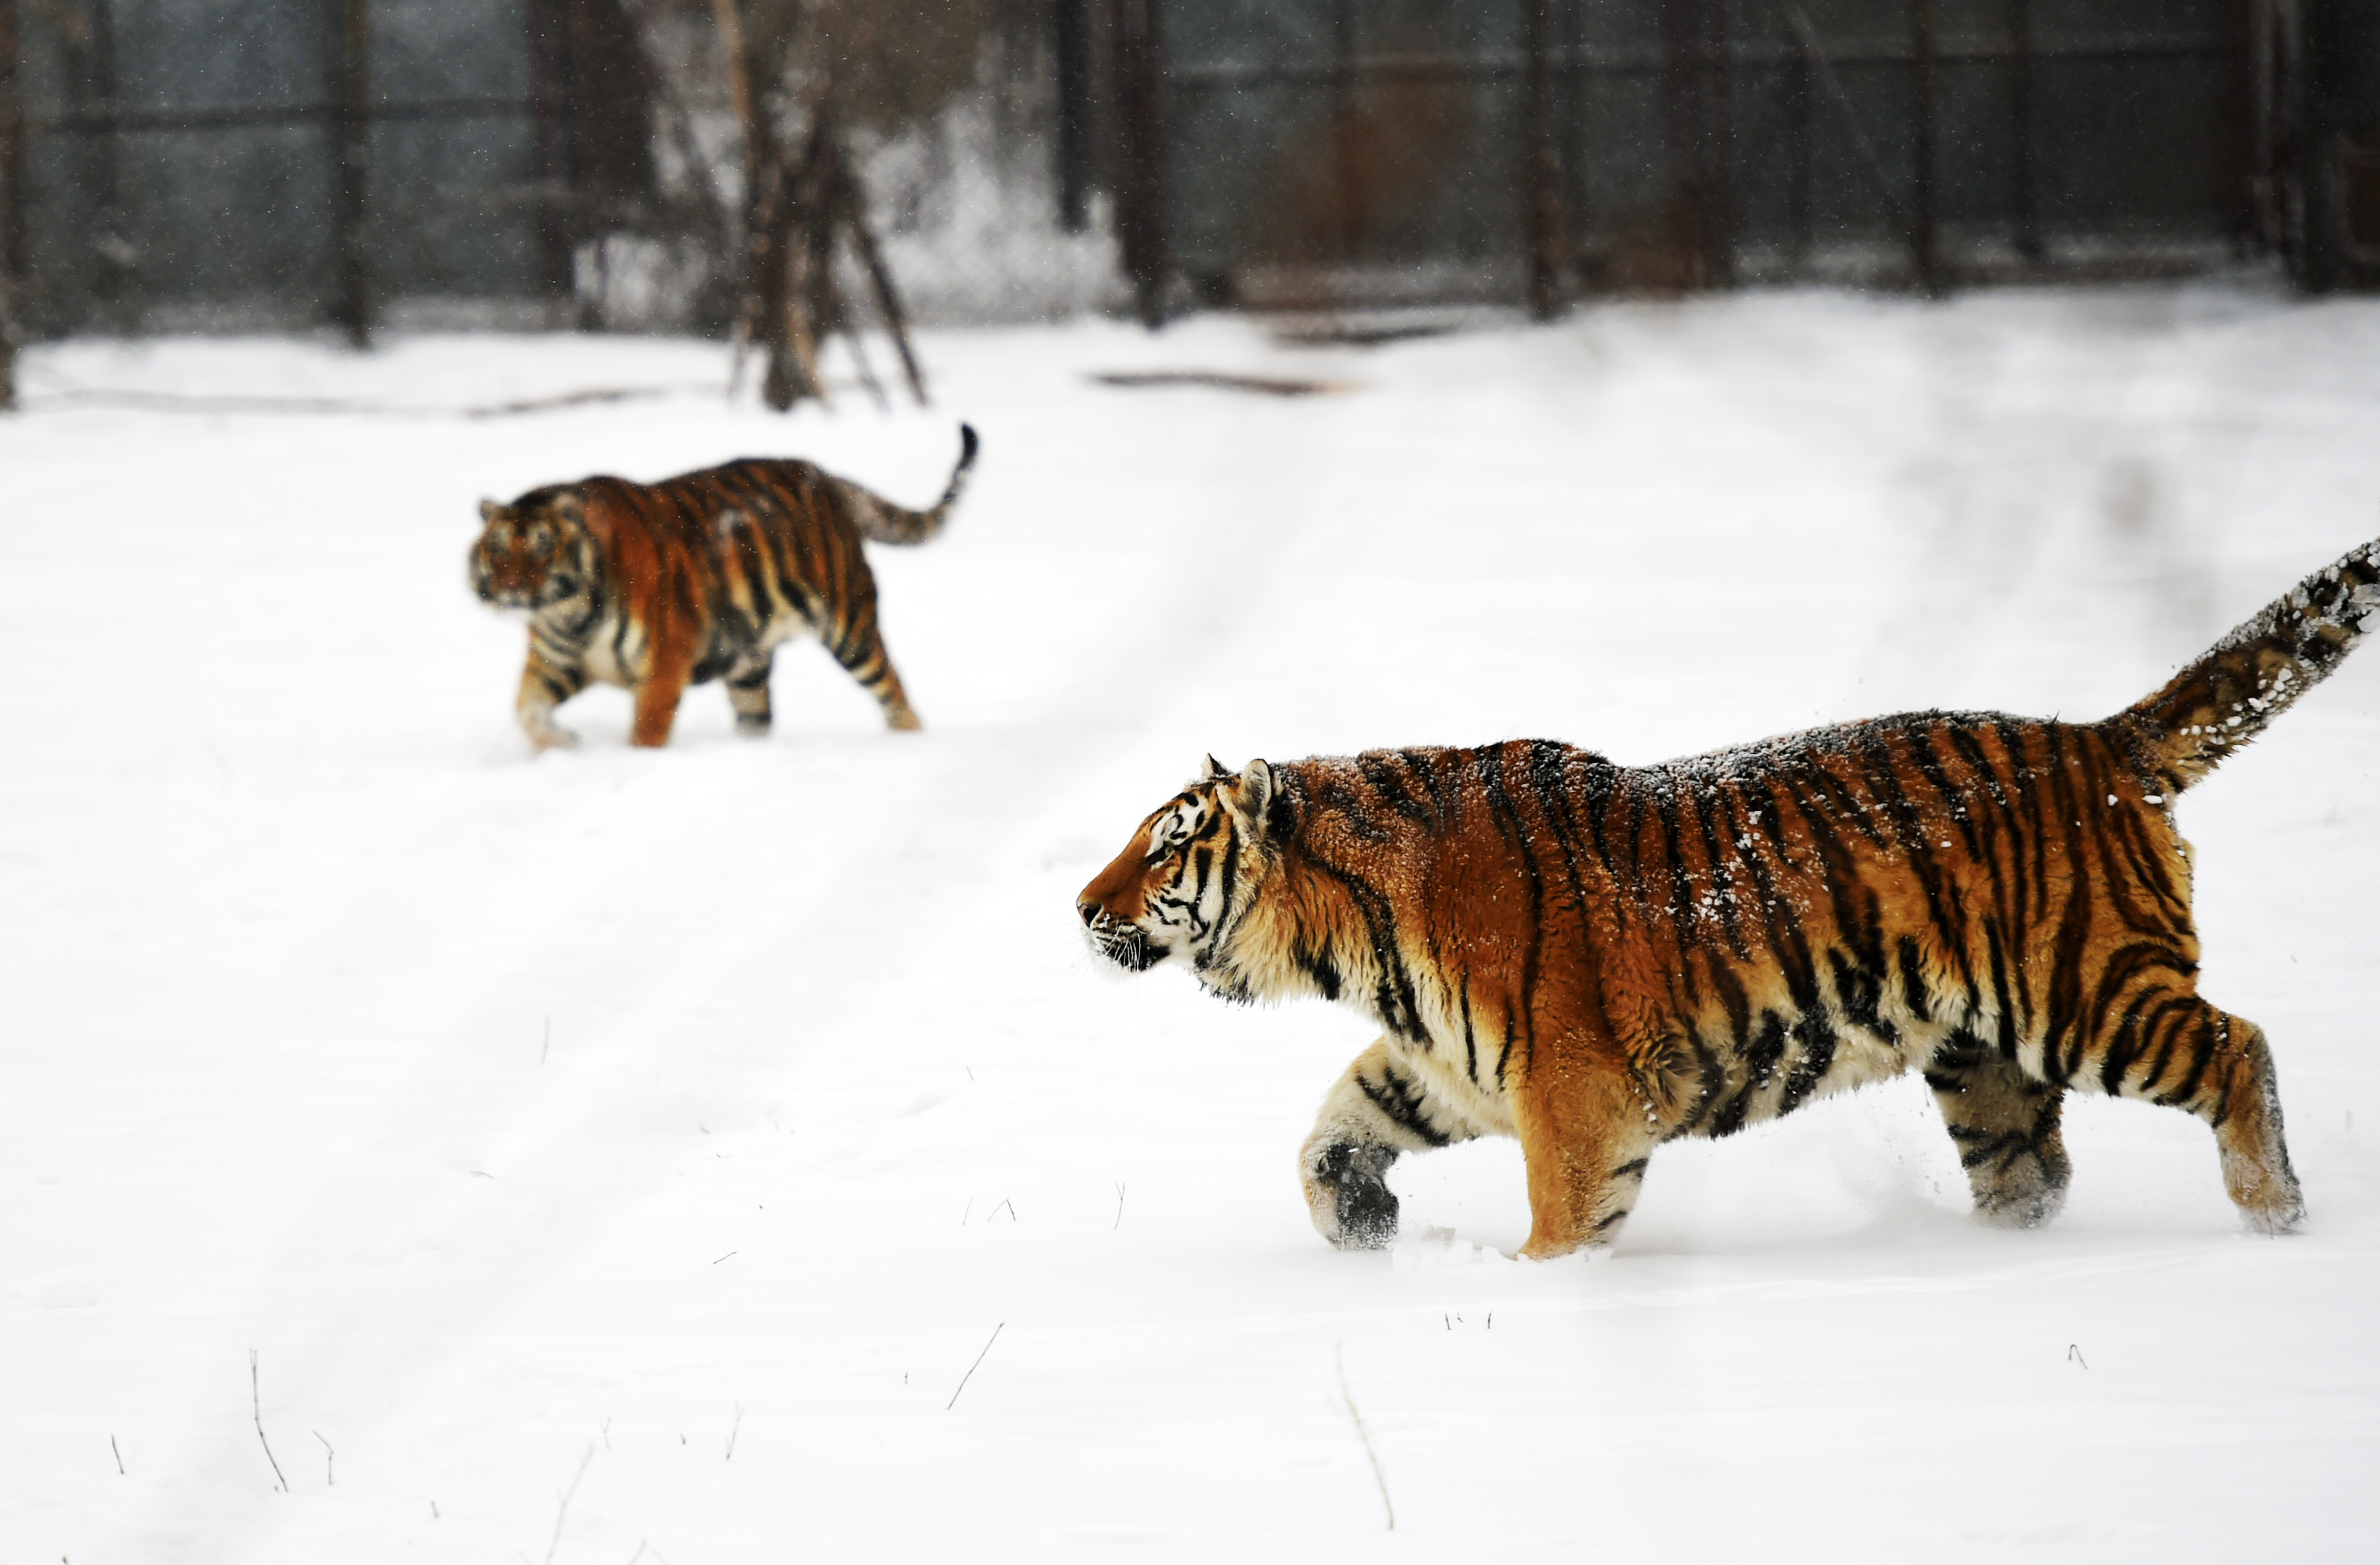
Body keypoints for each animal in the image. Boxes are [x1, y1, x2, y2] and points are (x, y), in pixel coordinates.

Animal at [473, 423, 975, 747]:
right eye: (498, 550)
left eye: (541, 548)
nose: (511, 589)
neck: (567, 613)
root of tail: (824, 476)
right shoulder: (554, 662)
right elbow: (526, 710)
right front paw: (561, 743)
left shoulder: (665, 663)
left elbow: (647, 730)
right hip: (748, 664)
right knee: (757, 719)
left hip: (850, 628)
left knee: (894, 691)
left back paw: (908, 743)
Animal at [1080, 537, 2380, 1256]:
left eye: (1162, 850)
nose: (1081, 908)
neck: (1351, 947)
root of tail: (2098, 740)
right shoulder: (1441, 1066)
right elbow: (1327, 1135)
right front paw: (1363, 1228)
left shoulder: (1573, 1096)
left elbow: (1561, 1224)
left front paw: (1531, 1293)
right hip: (1981, 1058)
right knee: (2032, 1177)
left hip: (2085, 992)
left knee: (2237, 1048)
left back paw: (2272, 1216)